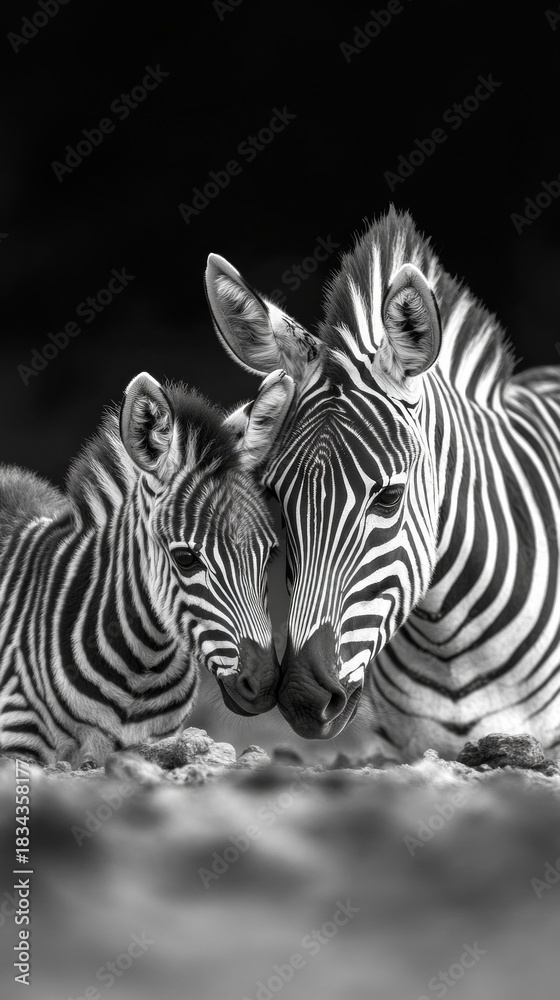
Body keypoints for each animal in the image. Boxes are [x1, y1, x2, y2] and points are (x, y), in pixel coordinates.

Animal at [0, 369, 294, 766]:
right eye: (186, 558)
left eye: (270, 555)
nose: (263, 685)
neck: (139, 670)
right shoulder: (17, 737)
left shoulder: (157, 742)